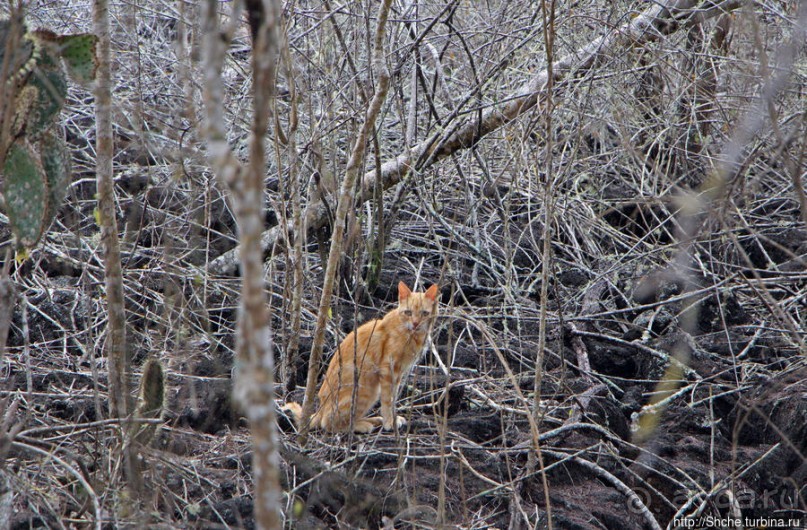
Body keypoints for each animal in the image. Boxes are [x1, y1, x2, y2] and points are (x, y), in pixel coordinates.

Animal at [282, 278, 438, 432]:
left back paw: (373, 420)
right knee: (328, 423)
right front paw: (390, 422)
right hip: (365, 390)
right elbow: (388, 400)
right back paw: (363, 425)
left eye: (424, 313)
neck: (411, 334)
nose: (416, 323)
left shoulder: (398, 374)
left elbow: (393, 397)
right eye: (408, 312)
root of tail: (320, 408)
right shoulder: (389, 370)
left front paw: (392, 418)